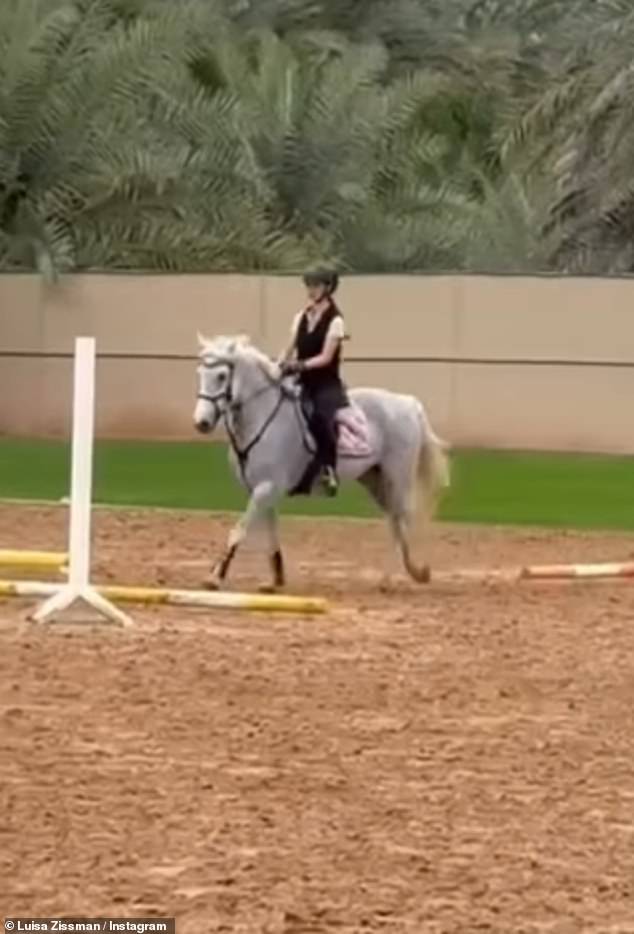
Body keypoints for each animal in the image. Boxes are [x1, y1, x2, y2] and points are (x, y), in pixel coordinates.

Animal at [193, 333, 450, 592]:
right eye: (200, 373)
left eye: (221, 376)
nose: (201, 423)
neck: (261, 418)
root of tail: (408, 403)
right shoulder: (262, 490)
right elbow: (271, 534)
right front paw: (276, 579)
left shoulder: (266, 487)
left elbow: (238, 531)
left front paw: (215, 577)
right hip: (374, 479)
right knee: (395, 521)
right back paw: (414, 572)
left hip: (398, 477)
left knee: (401, 519)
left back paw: (389, 579)